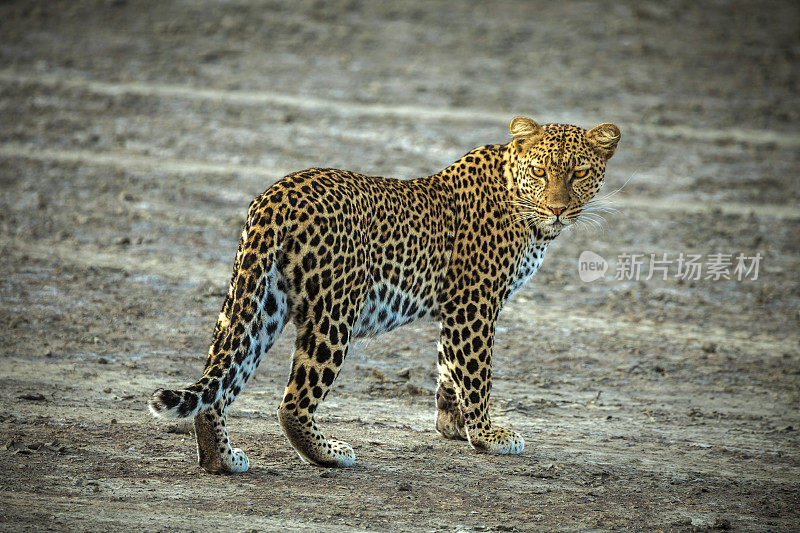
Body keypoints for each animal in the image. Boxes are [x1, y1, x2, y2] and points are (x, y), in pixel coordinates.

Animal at [152, 115, 624, 470]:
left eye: (579, 173)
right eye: (541, 172)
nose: (559, 208)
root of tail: (276, 195)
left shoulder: (456, 308)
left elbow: (448, 366)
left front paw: (452, 425)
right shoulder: (475, 302)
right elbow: (476, 373)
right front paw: (487, 435)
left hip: (260, 301)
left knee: (219, 380)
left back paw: (222, 459)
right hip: (334, 309)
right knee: (293, 402)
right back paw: (330, 453)